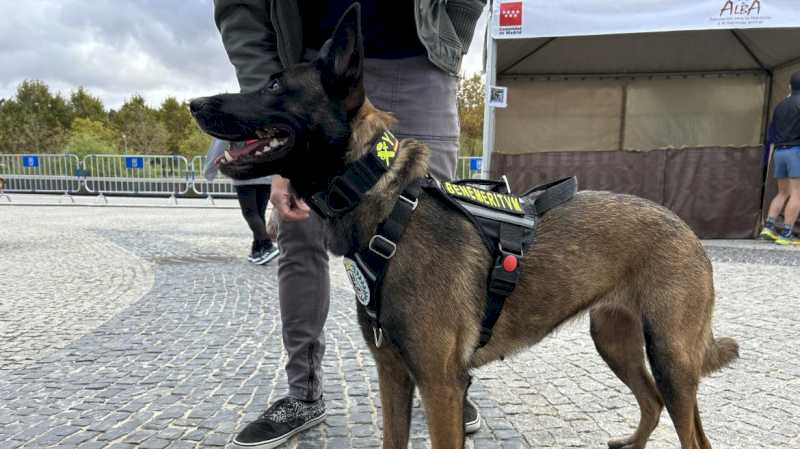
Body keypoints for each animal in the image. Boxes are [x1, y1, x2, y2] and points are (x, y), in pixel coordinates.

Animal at [191, 5, 740, 446]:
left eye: (275, 86)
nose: (196, 104)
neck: (388, 210)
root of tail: (687, 229)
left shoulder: (440, 386)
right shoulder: (393, 374)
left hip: (670, 358)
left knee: (689, 431)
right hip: (616, 343)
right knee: (652, 403)